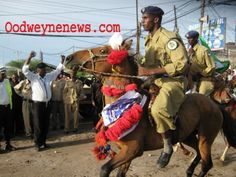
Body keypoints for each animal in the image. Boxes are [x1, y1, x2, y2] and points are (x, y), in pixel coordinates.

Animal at [64, 46, 236, 177]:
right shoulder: (126, 154)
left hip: (205, 138)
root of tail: (215, 105)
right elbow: (119, 173)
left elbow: (104, 169)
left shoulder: (132, 150)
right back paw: (188, 170)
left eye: (103, 50)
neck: (125, 105)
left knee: (207, 164)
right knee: (198, 155)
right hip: (188, 136)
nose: (68, 58)